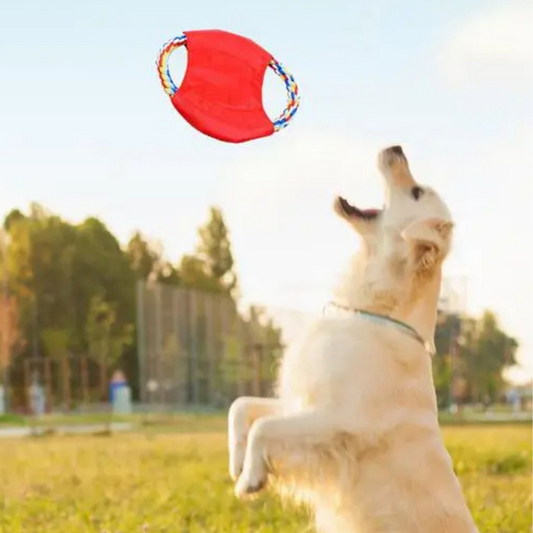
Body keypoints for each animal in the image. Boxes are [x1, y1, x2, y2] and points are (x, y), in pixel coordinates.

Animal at [227, 145, 476, 532]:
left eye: (416, 192)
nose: (396, 147)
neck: (369, 311)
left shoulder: (338, 422)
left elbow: (264, 427)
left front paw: (251, 478)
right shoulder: (301, 403)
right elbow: (240, 405)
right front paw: (237, 461)